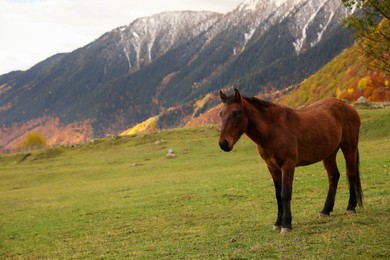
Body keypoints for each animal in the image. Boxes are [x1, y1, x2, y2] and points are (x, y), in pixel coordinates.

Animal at [219, 89, 362, 234]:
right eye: (221, 114)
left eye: (236, 113)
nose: (223, 143)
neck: (273, 129)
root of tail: (347, 106)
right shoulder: (272, 167)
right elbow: (278, 195)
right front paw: (278, 223)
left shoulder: (288, 165)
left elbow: (285, 193)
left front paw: (286, 224)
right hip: (329, 154)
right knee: (334, 176)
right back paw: (325, 210)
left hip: (349, 147)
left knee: (350, 174)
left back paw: (351, 207)